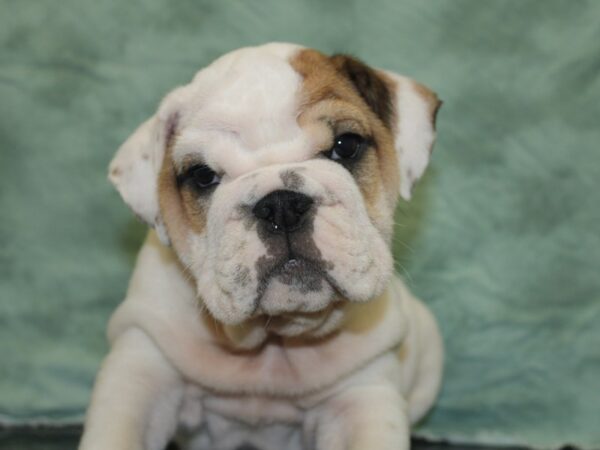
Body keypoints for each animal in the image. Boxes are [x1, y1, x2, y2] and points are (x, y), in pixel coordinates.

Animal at [79, 43, 442, 450]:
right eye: (203, 175)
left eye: (346, 146)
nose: (281, 205)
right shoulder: (141, 368)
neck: (273, 341)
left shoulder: (361, 395)